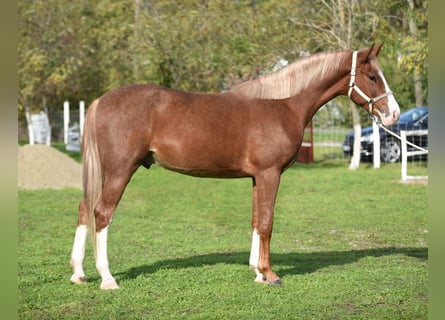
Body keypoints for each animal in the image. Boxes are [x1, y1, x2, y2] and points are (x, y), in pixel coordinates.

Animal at [70, 43, 398, 288]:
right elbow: (267, 222)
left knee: (85, 209)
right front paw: (271, 274)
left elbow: (256, 220)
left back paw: (79, 274)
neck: (283, 105)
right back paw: (107, 278)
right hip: (120, 170)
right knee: (102, 213)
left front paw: (257, 272)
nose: (393, 114)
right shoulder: (269, 174)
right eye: (372, 77)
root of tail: (100, 101)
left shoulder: (256, 177)